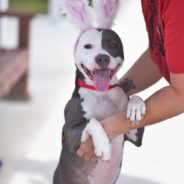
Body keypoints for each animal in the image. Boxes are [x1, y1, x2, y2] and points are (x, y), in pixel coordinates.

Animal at [54, 0, 146, 183]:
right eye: (87, 46)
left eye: (113, 45)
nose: (102, 58)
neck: (101, 94)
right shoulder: (71, 135)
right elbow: (93, 121)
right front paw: (103, 144)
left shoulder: (133, 135)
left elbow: (133, 97)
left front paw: (136, 105)